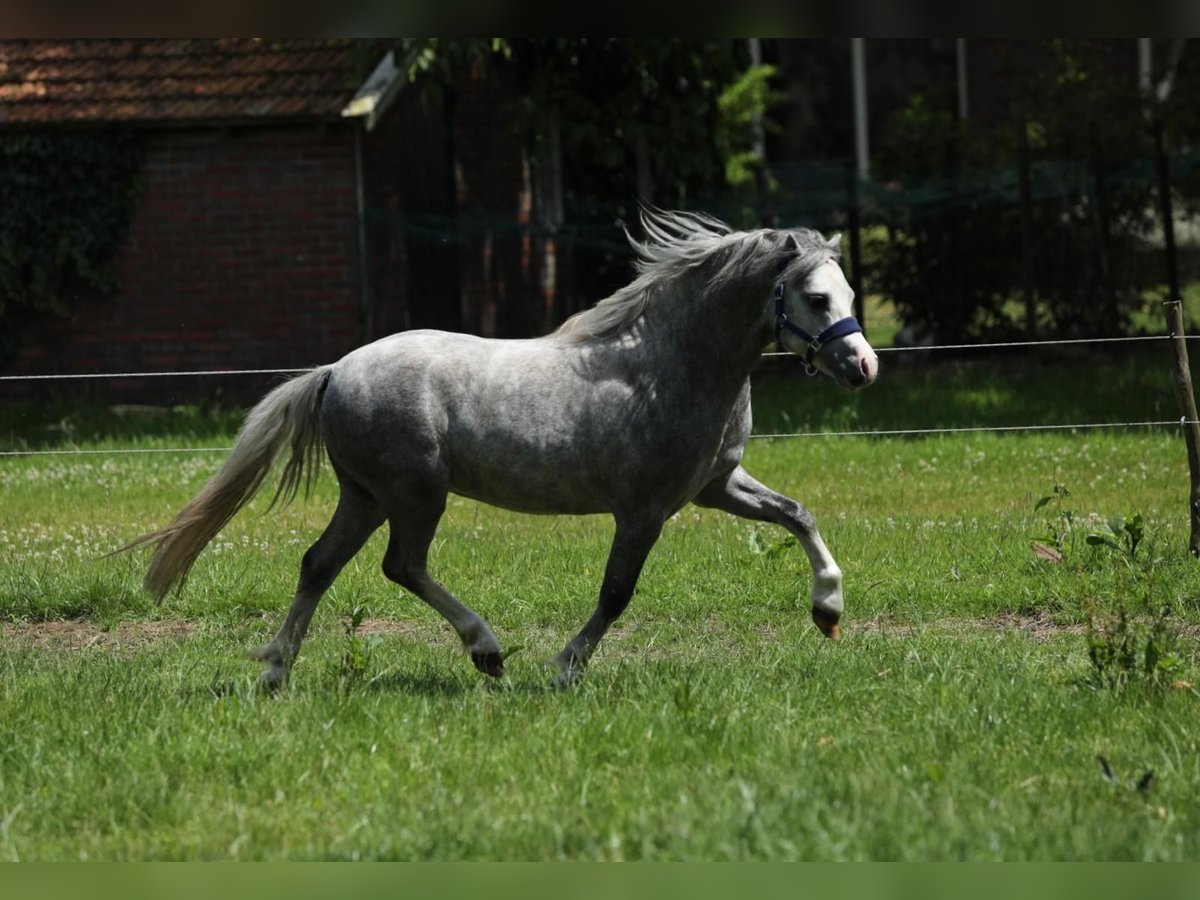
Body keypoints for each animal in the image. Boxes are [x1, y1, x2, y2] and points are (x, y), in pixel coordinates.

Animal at [124, 211, 883, 686]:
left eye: (848, 290)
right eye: (817, 297)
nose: (864, 367)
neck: (668, 365)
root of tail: (336, 370)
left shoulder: (714, 486)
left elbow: (798, 514)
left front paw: (828, 611)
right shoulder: (643, 511)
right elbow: (616, 593)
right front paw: (566, 667)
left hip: (366, 496)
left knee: (319, 564)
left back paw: (277, 671)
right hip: (415, 493)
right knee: (400, 566)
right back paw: (487, 652)